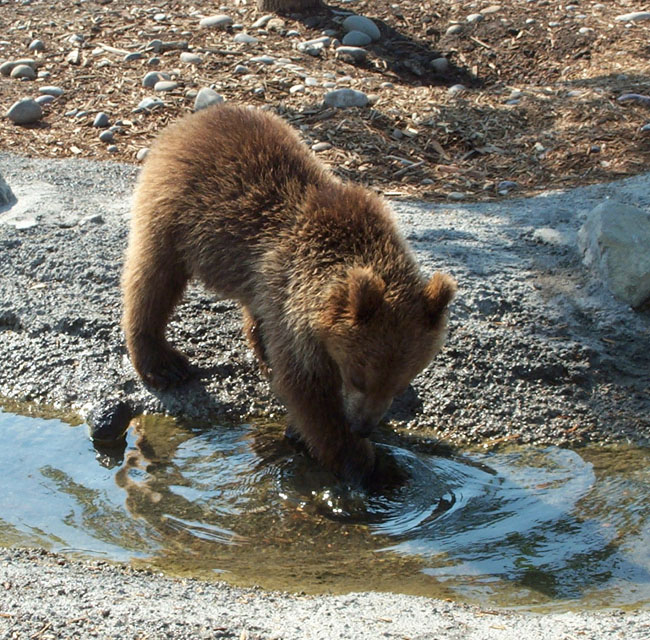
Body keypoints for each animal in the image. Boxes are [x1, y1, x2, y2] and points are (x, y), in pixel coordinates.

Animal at [122, 103, 456, 485]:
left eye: (400, 383)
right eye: (359, 376)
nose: (364, 426)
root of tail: (199, 117)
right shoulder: (293, 304)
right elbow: (306, 388)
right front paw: (361, 461)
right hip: (173, 214)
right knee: (152, 280)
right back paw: (163, 363)